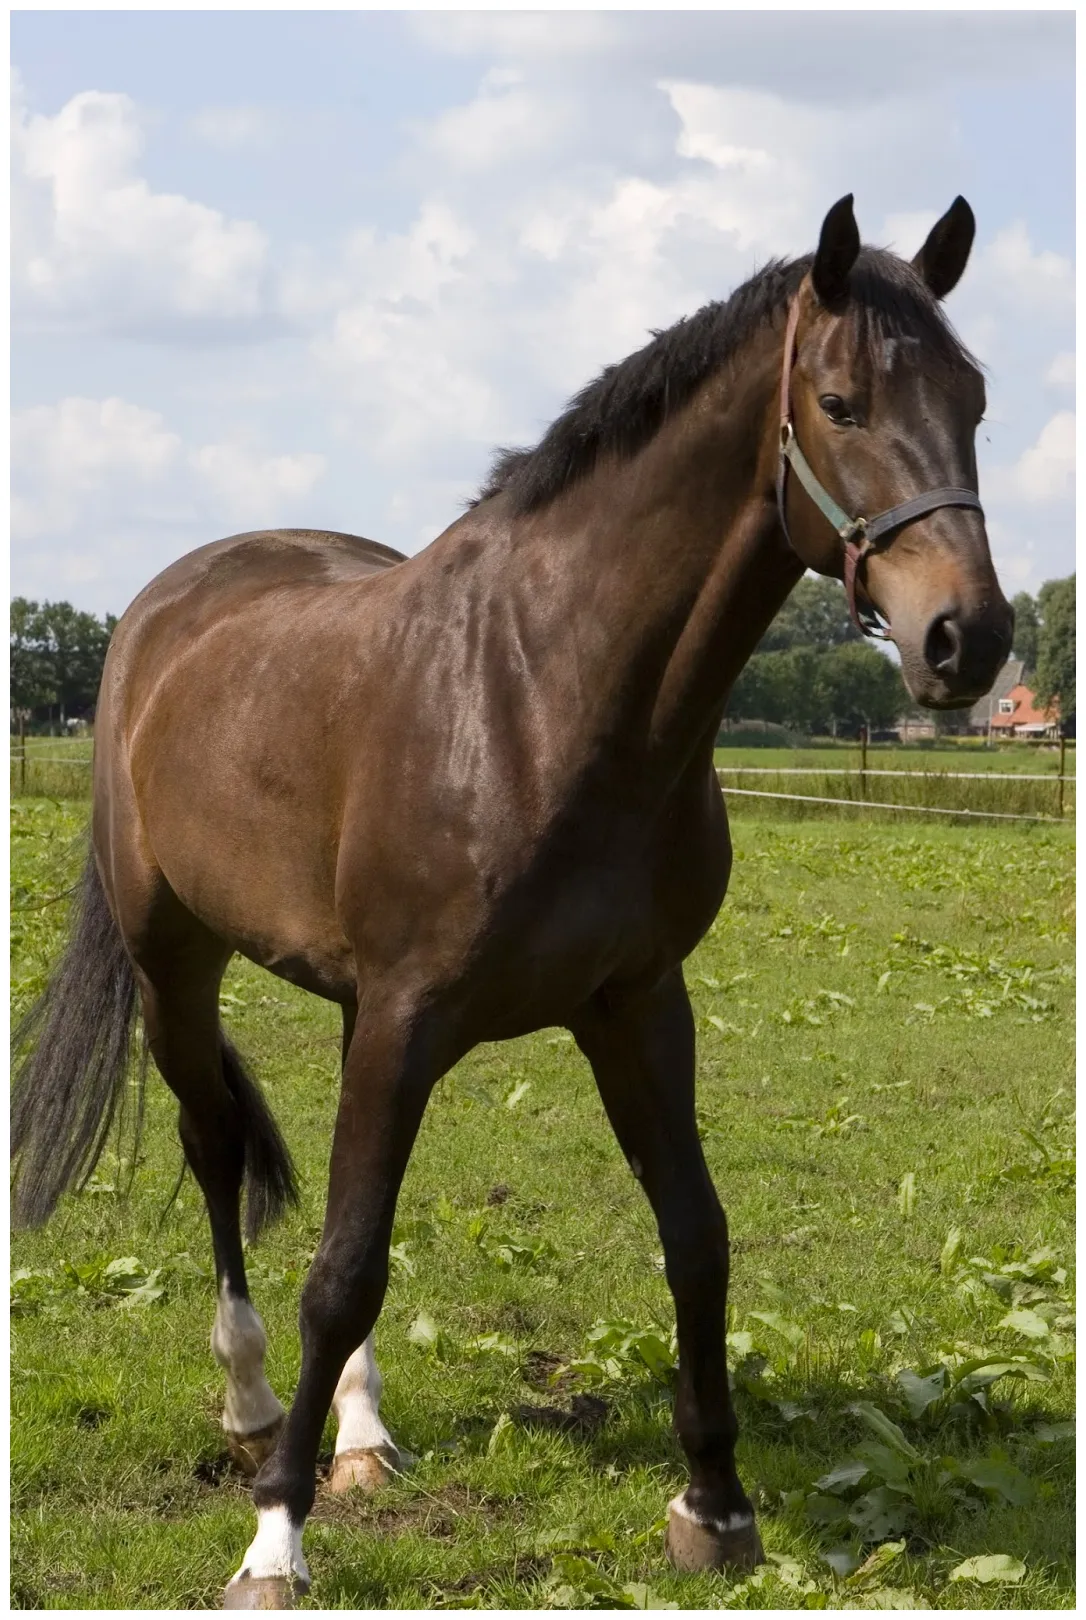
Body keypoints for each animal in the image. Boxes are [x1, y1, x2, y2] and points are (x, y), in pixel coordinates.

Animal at [11, 194, 1013, 1608]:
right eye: (841, 403)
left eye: (973, 399)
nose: (966, 643)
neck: (544, 693)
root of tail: (164, 613)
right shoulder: (410, 1016)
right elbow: (341, 1270)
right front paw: (275, 1540)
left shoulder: (634, 1005)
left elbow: (694, 1236)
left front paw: (716, 1505)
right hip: (176, 965)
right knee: (217, 1157)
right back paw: (259, 1412)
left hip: (347, 1008)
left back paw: (359, 1433)